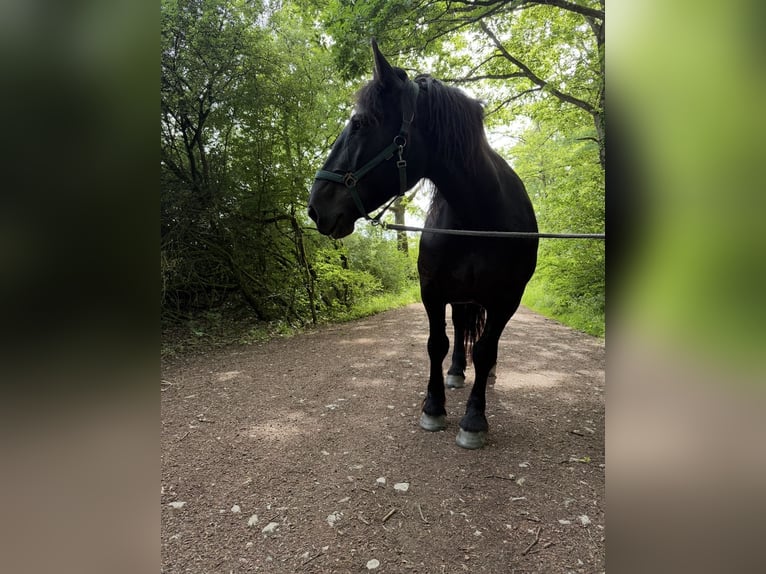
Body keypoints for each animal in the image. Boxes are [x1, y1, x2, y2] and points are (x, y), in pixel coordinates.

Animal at [308, 40, 538, 449]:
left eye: (360, 123)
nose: (315, 207)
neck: (479, 217)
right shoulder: (433, 290)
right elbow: (437, 344)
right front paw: (433, 407)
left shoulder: (507, 299)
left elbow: (485, 349)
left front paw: (473, 420)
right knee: (461, 327)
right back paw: (456, 372)